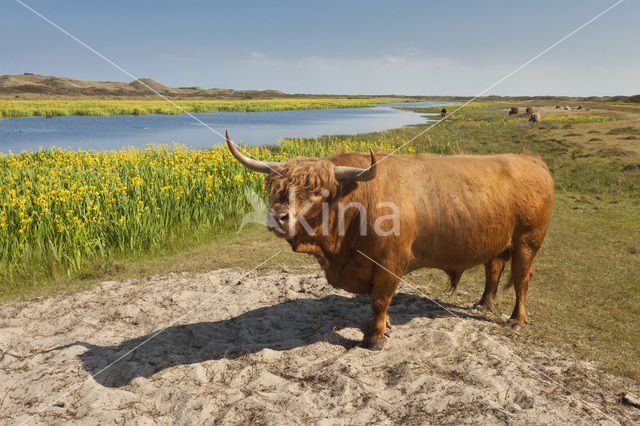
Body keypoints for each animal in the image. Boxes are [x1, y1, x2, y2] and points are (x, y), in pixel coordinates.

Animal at [226, 131, 556, 350]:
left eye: (319, 192)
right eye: (279, 189)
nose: (278, 216)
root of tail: (532, 160)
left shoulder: (389, 264)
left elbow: (379, 301)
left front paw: (375, 337)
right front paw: (383, 329)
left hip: (527, 241)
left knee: (522, 278)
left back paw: (516, 319)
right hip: (497, 241)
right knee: (494, 269)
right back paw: (483, 305)